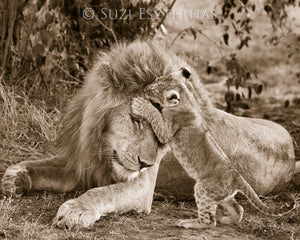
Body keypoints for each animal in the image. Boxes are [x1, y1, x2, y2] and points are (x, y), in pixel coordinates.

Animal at [1, 39, 298, 227]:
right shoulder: (80, 165)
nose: (146, 163)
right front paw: (14, 178)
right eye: (136, 121)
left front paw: (76, 210)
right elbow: (38, 165)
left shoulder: (140, 187)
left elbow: (102, 193)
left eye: (163, 136)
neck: (102, 144)